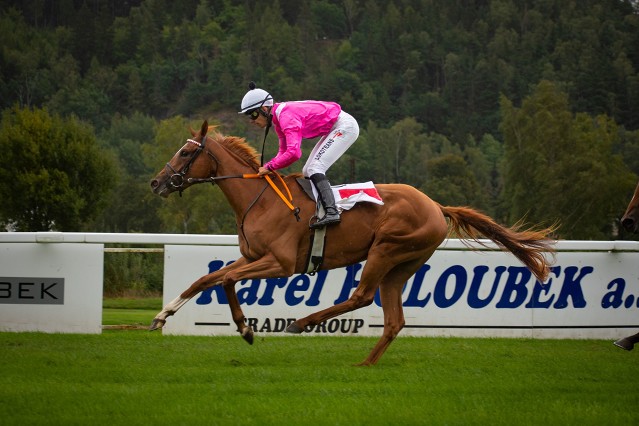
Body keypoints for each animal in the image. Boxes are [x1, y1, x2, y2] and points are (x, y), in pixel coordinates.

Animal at [149, 120, 556, 366]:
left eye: (186, 152)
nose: (157, 182)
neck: (259, 200)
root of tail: (436, 206)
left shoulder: (281, 262)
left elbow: (228, 280)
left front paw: (246, 329)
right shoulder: (251, 256)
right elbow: (207, 279)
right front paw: (161, 316)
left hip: (386, 249)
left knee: (361, 295)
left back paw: (303, 323)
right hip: (402, 265)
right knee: (394, 320)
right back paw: (366, 364)